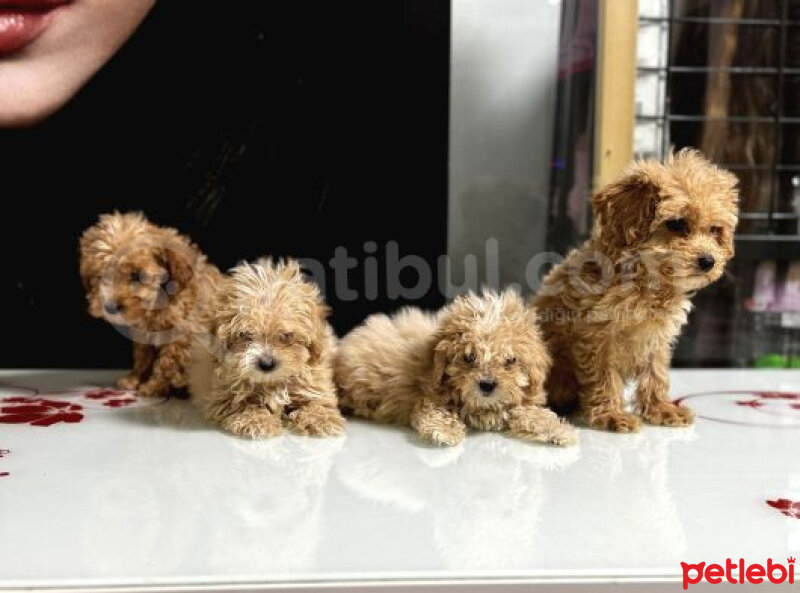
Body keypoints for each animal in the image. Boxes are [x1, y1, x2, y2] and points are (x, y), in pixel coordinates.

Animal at [79, 213, 222, 398]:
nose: (110, 307)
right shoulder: (144, 335)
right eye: (102, 275)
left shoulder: (182, 337)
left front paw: (151, 387)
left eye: (138, 276)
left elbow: (166, 363)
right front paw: (133, 379)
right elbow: (142, 357)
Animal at [191, 256, 346, 438]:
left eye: (286, 335)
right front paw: (256, 421)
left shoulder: (315, 383)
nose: (266, 364)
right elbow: (242, 405)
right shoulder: (222, 394)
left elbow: (317, 401)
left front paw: (320, 420)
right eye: (245, 334)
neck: (272, 383)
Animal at [334, 290, 580, 446]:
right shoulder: (429, 396)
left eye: (510, 361)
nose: (487, 385)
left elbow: (531, 412)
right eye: (469, 357)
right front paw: (446, 431)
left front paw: (558, 429)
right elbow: (436, 411)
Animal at [536, 150, 740, 432]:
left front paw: (661, 409)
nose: (708, 261)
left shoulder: (657, 337)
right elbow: (604, 376)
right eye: (677, 224)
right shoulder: (597, 335)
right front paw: (612, 415)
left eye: (714, 230)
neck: (646, 281)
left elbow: (656, 373)